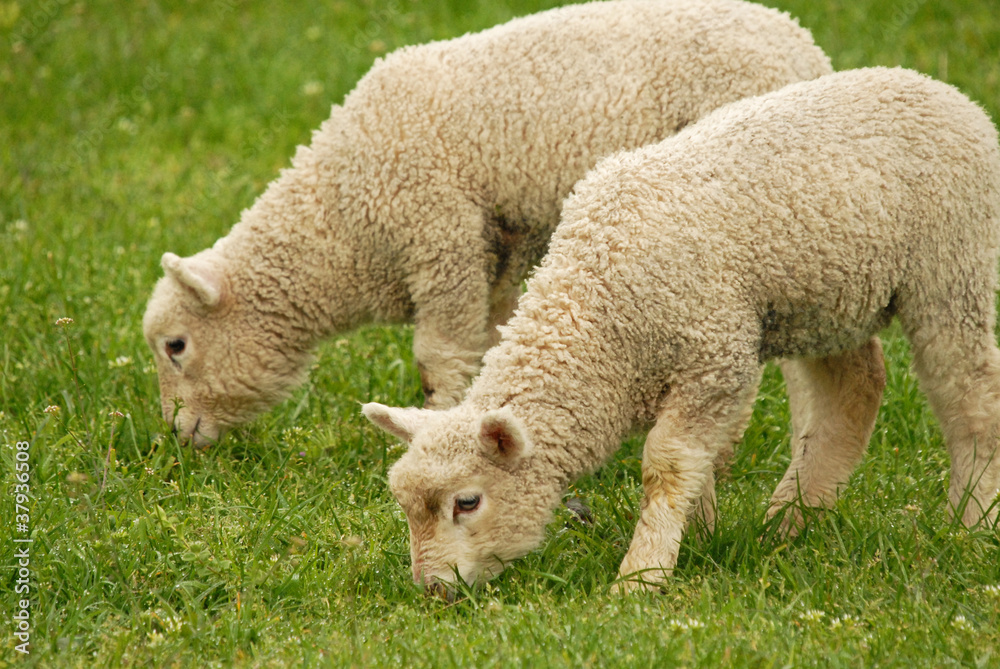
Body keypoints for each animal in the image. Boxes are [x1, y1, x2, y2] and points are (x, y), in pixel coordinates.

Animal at [142, 0, 833, 446]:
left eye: (177, 346)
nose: (176, 436)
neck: (342, 220)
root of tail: (805, 43)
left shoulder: (439, 235)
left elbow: (439, 357)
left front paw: (429, 426)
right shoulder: (501, 246)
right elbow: (493, 338)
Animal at [363, 66, 1000, 595]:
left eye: (467, 503)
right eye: (406, 505)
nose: (432, 589)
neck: (596, 305)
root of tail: (941, 89)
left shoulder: (715, 358)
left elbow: (667, 465)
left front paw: (642, 576)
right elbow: (697, 467)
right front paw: (699, 536)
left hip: (951, 270)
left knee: (971, 399)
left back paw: (970, 524)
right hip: (827, 297)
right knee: (854, 390)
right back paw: (789, 522)